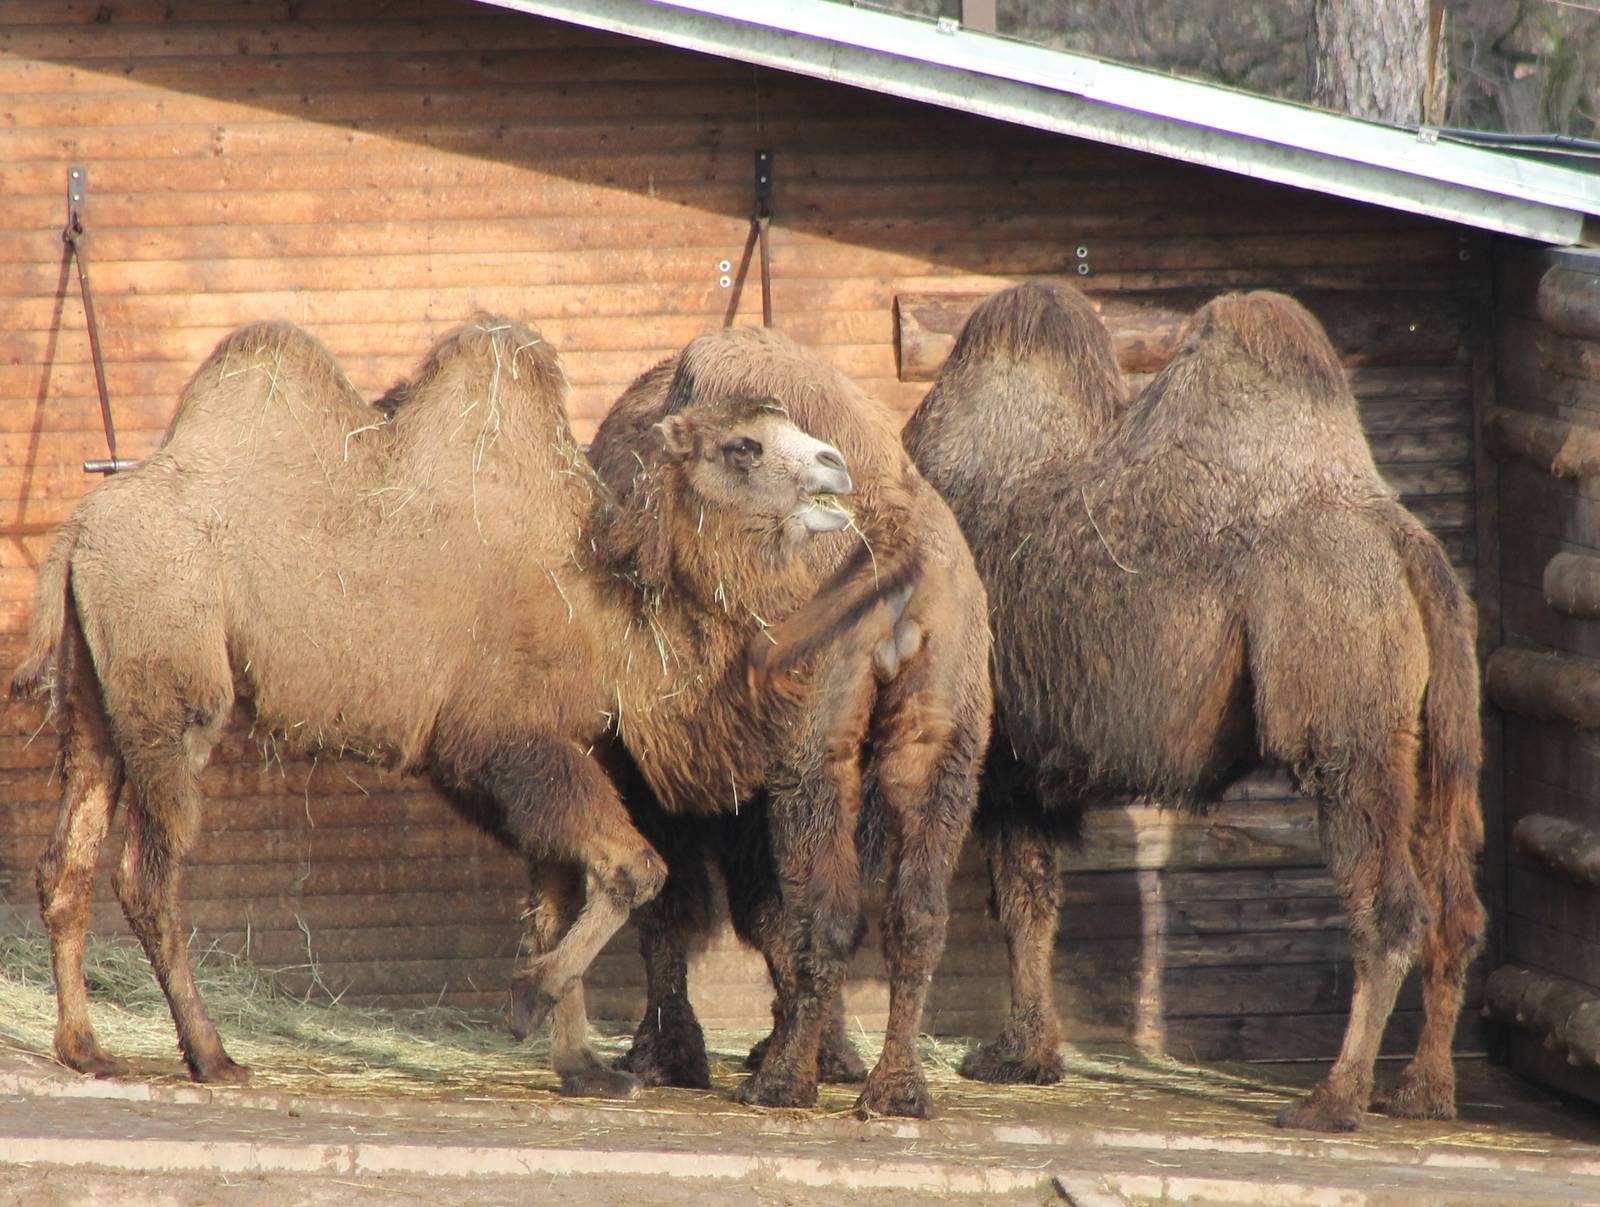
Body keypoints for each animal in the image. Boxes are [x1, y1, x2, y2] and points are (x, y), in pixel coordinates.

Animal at [13, 316, 910, 1098]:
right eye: (743, 445)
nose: (836, 467)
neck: (606, 609)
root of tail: (78, 528)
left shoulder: (554, 746)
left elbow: (559, 895)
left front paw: (584, 1067)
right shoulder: (499, 742)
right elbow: (631, 869)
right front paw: (527, 1000)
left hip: (98, 689)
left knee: (69, 858)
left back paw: (85, 1047)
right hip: (173, 682)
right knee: (147, 871)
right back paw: (211, 1054)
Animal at [579, 326, 993, 1117]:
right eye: (745, 447)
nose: (829, 468)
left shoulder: (660, 754)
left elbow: (674, 903)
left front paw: (667, 1056)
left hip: (814, 747)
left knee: (821, 915)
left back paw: (780, 1084)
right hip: (944, 733)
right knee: (915, 914)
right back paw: (894, 1090)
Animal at [901, 283, 1485, 1132]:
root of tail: (1405, 543)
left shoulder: (995, 749)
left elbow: (1007, 895)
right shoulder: (1026, 764)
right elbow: (1031, 899)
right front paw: (1025, 1056)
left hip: (1347, 724)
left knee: (1390, 905)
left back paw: (1332, 1099)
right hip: (1432, 733)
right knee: (1454, 903)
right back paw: (1423, 1090)